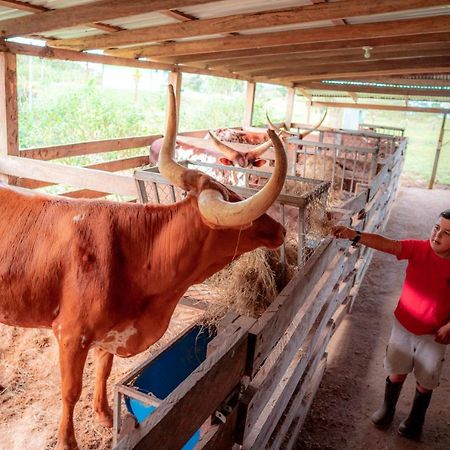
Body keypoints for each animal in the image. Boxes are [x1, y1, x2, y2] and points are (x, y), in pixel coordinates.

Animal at [0, 85, 286, 450]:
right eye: (238, 205)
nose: (280, 229)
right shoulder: (70, 334)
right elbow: (70, 392)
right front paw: (68, 441)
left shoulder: (109, 332)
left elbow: (104, 370)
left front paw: (105, 415)